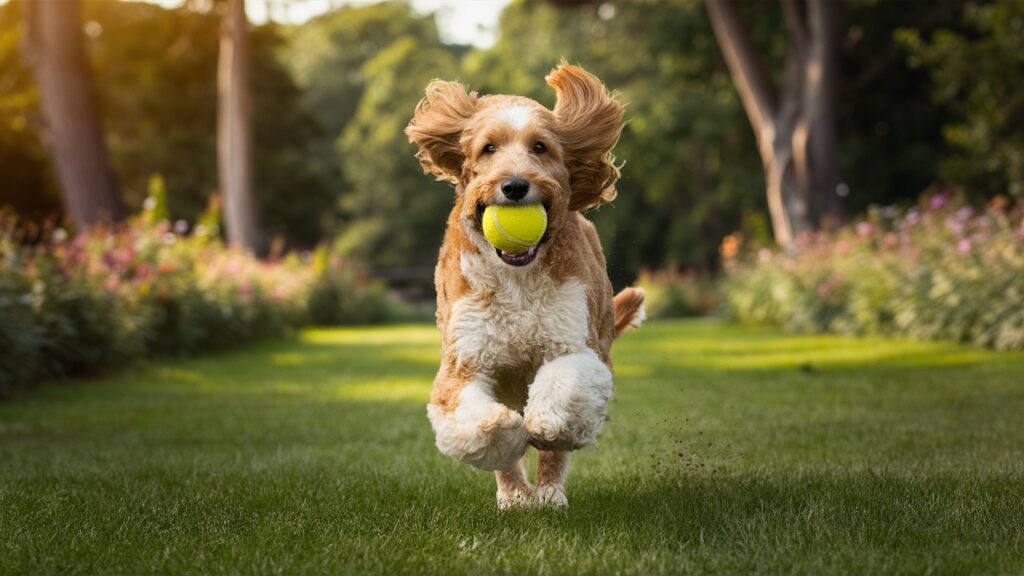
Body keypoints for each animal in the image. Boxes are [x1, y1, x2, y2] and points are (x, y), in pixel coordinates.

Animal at [403, 63, 643, 506]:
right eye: (488, 149)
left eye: (540, 147)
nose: (514, 186)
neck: (517, 279)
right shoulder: (464, 362)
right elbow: (478, 424)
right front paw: (510, 437)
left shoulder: (576, 346)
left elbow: (563, 395)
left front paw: (542, 424)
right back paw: (515, 496)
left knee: (556, 447)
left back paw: (549, 494)